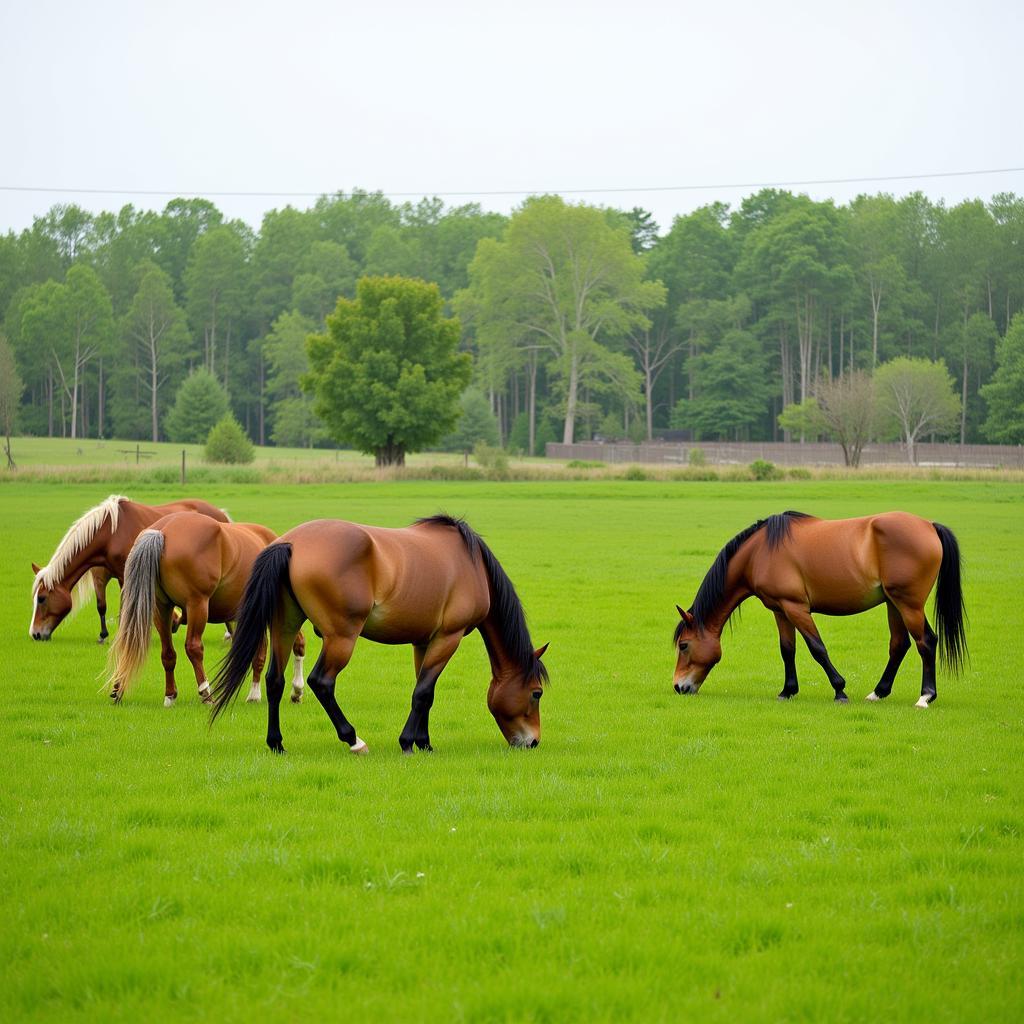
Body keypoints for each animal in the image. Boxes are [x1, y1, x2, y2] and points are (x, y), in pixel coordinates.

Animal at [29, 493, 230, 638]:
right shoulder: (100, 574)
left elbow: (125, 606)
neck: (110, 533)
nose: (35, 634)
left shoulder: (124, 576)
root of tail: (221, 514)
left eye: (42, 598)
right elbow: (101, 605)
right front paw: (103, 635)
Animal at [109, 509, 307, 704]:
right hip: (197, 605)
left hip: (161, 607)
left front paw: (256, 693)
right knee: (194, 647)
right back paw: (206, 692)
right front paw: (292, 689)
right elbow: (282, 646)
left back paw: (169, 695)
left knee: (168, 653)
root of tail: (162, 530)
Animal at [210, 516, 548, 757]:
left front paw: (424, 742)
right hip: (341, 637)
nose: (532, 742)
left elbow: (424, 691)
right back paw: (353, 740)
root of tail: (291, 543)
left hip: (285, 625)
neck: (470, 563)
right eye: (536, 693)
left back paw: (276, 743)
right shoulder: (447, 638)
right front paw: (409, 742)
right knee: (322, 682)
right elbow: (424, 692)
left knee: (275, 680)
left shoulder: (423, 641)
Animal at [671, 509, 966, 708]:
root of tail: (929, 526)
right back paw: (878, 692)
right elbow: (787, 650)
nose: (678, 686)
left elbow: (817, 648)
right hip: (894, 604)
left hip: (908, 604)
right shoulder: (780, 610)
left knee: (925, 642)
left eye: (684, 645)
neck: (759, 553)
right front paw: (787, 691)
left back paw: (925, 696)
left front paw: (840, 690)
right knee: (900, 644)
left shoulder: (796, 607)